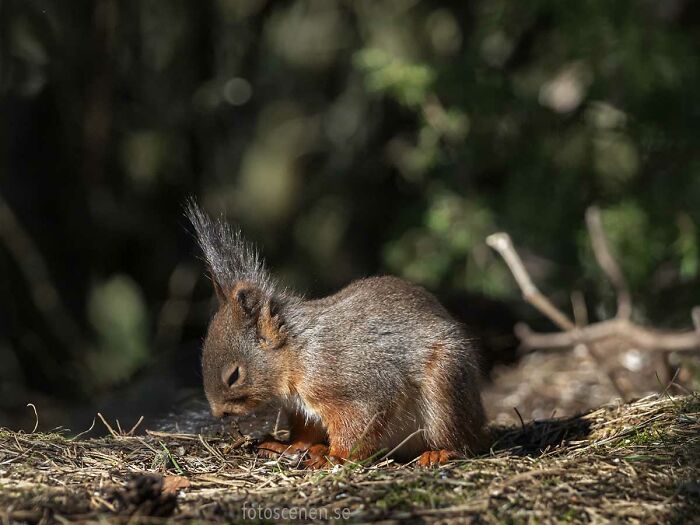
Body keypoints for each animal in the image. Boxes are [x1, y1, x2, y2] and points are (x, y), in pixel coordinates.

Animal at [186, 202, 486, 468]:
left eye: (233, 376)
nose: (219, 413)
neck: (297, 353)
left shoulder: (354, 386)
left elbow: (358, 426)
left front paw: (336, 457)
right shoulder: (300, 409)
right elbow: (305, 433)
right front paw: (288, 446)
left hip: (445, 391)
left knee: (460, 440)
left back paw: (439, 453)